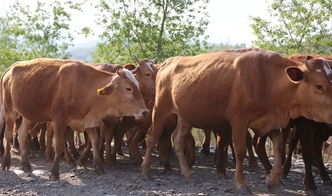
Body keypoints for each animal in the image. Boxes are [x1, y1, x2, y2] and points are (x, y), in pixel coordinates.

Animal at [0, 57, 148, 180]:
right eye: (128, 88)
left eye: (138, 86)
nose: (145, 112)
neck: (84, 86)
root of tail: (11, 68)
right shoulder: (59, 120)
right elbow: (59, 144)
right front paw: (54, 173)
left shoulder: (89, 121)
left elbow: (94, 141)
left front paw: (99, 167)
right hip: (9, 111)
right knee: (8, 135)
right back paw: (6, 163)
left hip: (28, 115)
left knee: (22, 134)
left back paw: (25, 165)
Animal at [142, 47, 332, 193]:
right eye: (319, 86)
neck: (267, 79)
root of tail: (168, 62)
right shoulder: (239, 120)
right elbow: (240, 151)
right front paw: (241, 184)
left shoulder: (269, 122)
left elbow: (278, 147)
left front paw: (272, 180)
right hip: (160, 109)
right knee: (152, 136)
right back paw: (145, 170)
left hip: (186, 115)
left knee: (178, 139)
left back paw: (187, 172)